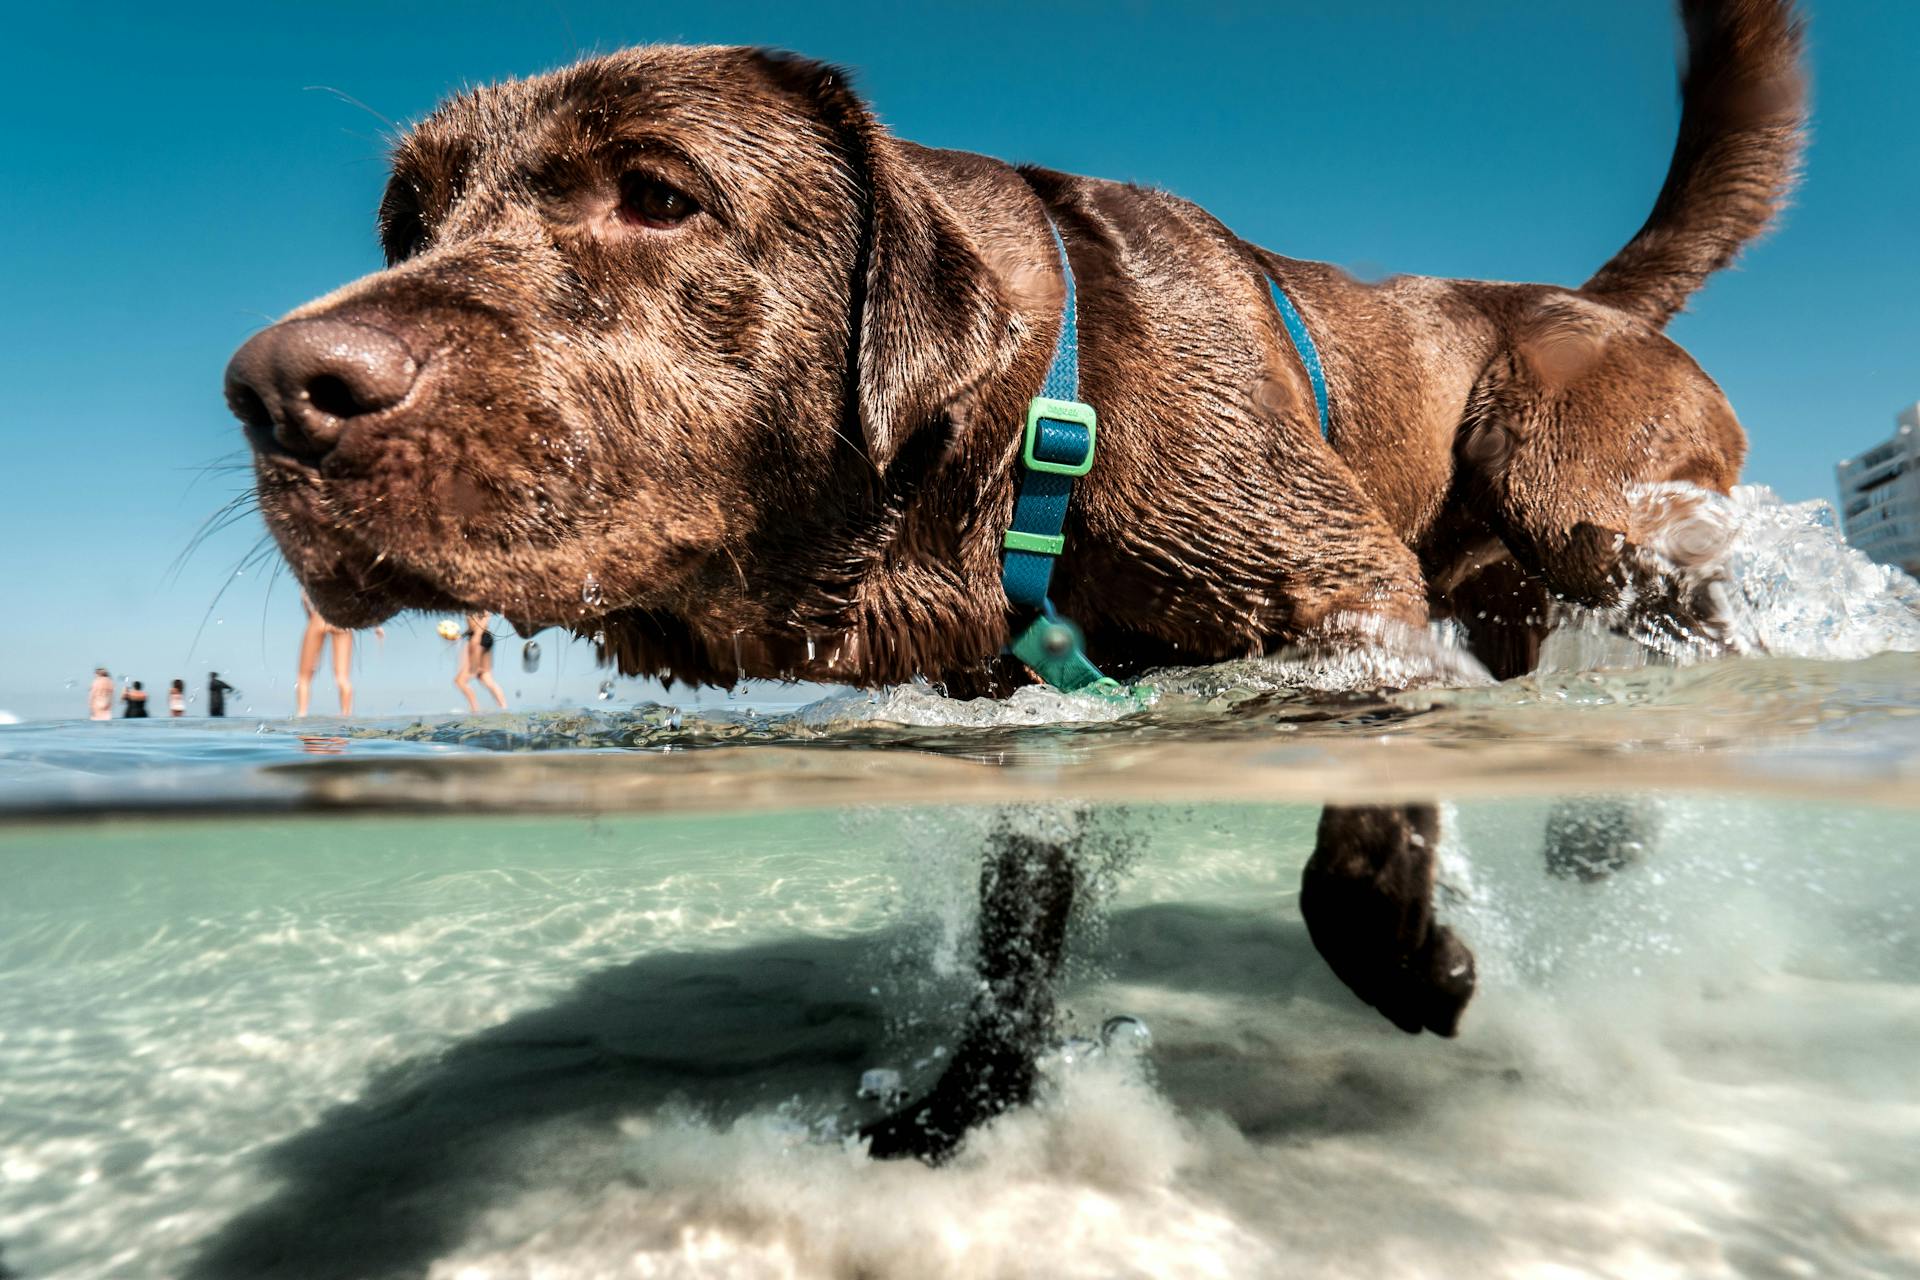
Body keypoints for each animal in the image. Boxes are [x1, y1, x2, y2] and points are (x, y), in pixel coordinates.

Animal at [232, 0, 1804, 1159]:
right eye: (405, 224)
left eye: (658, 194)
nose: (276, 390)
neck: (1045, 401)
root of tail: (1589, 301)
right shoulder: (1032, 720)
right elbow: (1013, 942)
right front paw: (962, 1108)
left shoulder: (1345, 592)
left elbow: (1358, 818)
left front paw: (1407, 956)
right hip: (1513, 585)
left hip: (1578, 487)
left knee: (1702, 633)